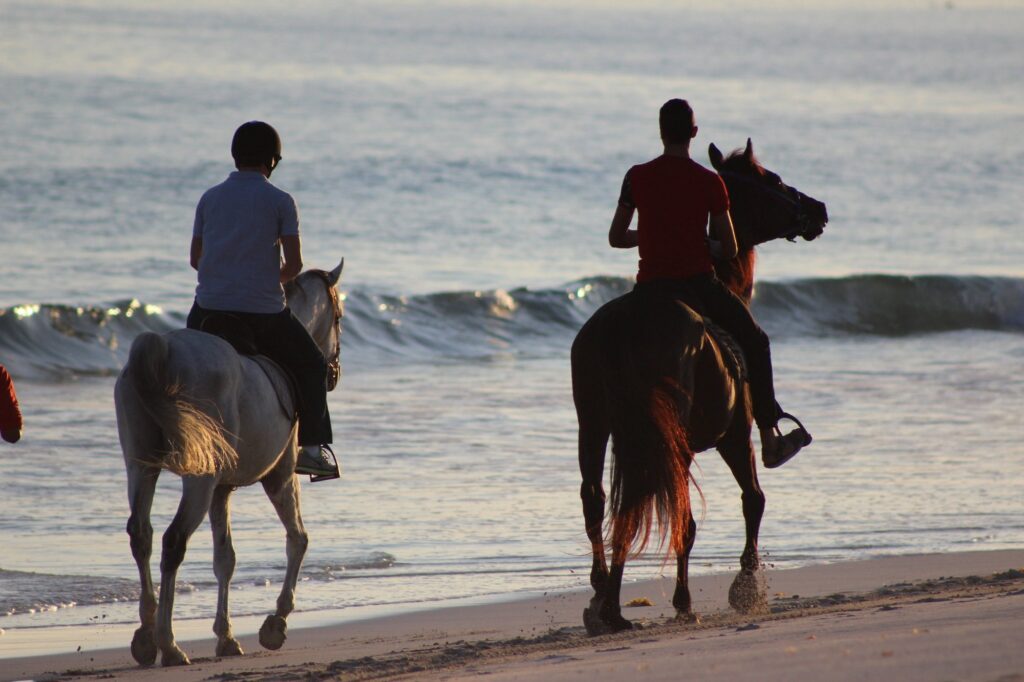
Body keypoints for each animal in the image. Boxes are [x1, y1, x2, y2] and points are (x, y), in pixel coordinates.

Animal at [114, 261, 344, 666]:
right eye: (338, 317)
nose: (333, 373)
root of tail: (162, 349)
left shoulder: (222, 490)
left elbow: (225, 558)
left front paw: (226, 637)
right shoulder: (280, 477)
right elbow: (298, 539)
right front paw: (275, 624)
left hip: (141, 466)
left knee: (141, 534)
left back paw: (145, 636)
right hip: (199, 479)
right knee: (173, 540)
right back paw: (169, 644)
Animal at [572, 141, 828, 634]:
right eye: (772, 179)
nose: (818, 209)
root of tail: (625, 326)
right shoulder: (735, 433)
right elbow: (753, 499)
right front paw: (744, 588)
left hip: (594, 425)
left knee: (598, 502)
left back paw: (602, 599)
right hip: (673, 438)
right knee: (671, 514)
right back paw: (648, 603)